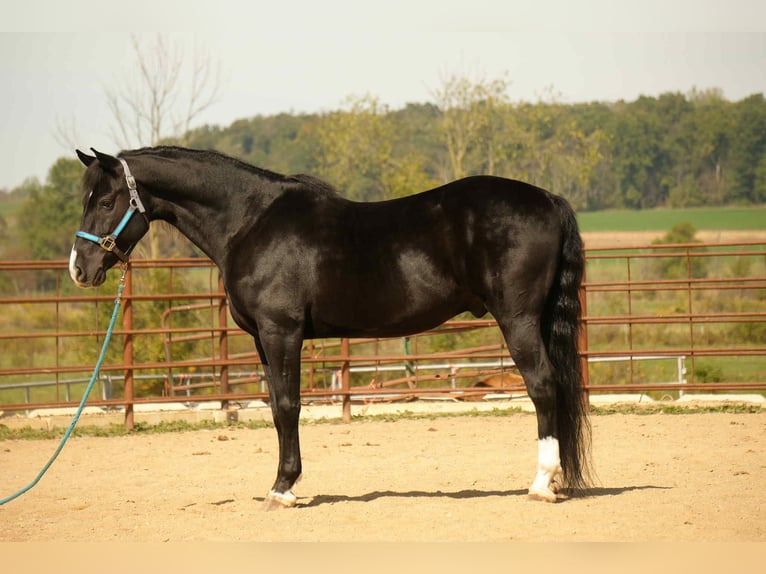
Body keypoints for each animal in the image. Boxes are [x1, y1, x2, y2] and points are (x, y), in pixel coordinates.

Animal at [69, 146, 591, 506]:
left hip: (518, 320)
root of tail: (548, 199)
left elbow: (287, 406)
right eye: (87, 198)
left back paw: (541, 484)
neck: (250, 222)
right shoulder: (263, 341)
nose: (79, 268)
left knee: (543, 386)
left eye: (107, 200)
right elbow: (278, 408)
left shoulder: (281, 331)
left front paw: (282, 489)